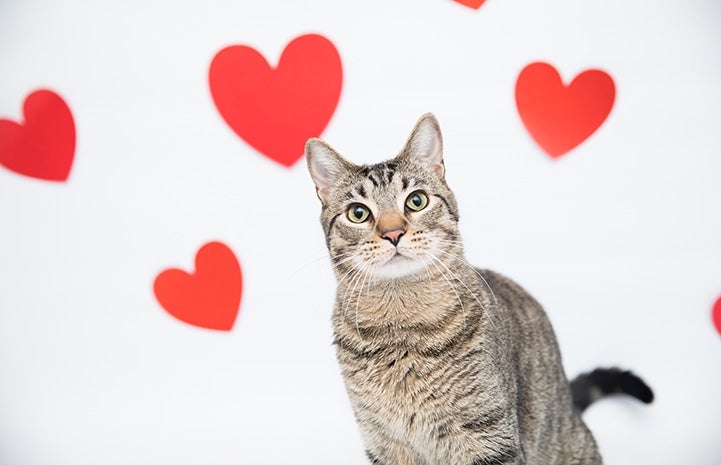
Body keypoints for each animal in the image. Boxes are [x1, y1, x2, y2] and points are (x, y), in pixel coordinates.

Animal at [304, 113, 652, 464]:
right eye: (358, 213)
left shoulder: (488, 438)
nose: (393, 233)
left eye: (416, 201)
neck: (401, 326)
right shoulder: (384, 441)